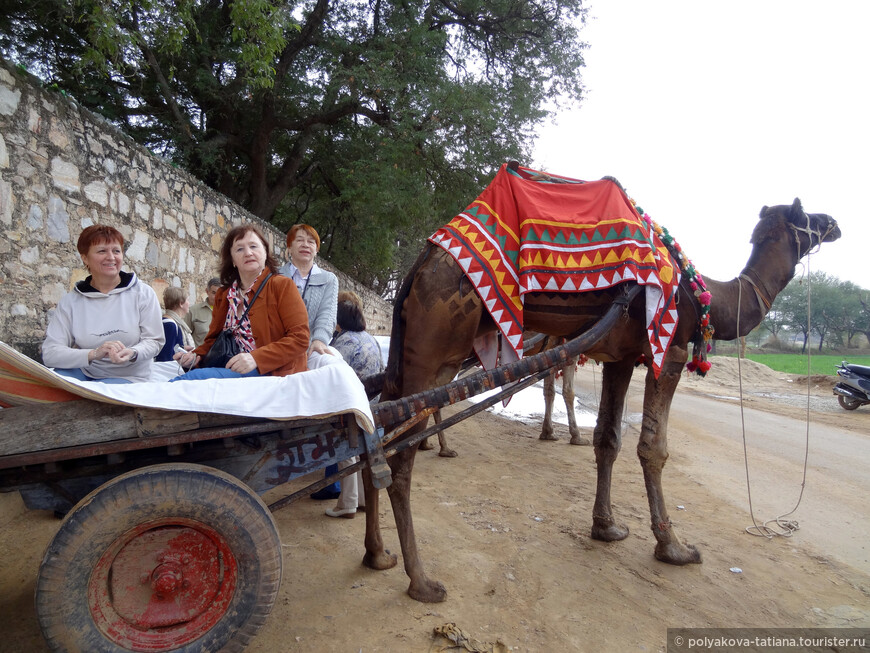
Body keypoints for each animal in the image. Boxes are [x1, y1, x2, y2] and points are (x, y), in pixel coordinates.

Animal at [360, 194, 836, 600]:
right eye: (805, 216)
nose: (833, 223)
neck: (704, 294)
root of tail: (419, 266)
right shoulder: (671, 351)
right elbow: (652, 448)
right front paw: (674, 547)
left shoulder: (620, 357)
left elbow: (608, 439)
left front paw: (606, 528)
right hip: (438, 346)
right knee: (397, 459)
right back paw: (421, 581)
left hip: (412, 352)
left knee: (371, 430)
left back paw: (377, 554)